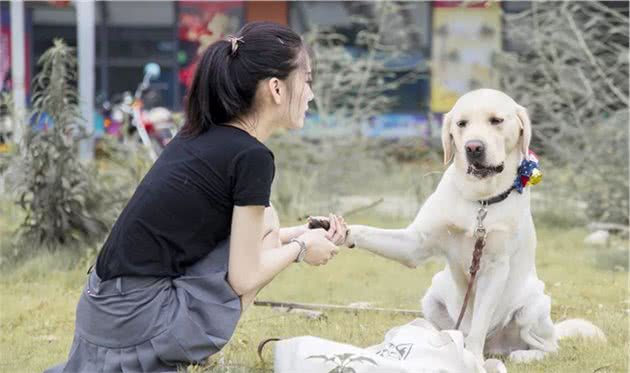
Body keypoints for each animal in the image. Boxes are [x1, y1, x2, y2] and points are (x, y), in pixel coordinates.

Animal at [346, 88, 608, 370]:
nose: (473, 147)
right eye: (462, 124)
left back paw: (523, 354)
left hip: (532, 305)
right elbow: (365, 232)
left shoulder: (494, 267)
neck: (480, 200)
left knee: (548, 346)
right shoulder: (415, 244)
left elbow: (479, 323)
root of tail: (497, 346)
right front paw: (336, 229)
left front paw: (471, 358)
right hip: (432, 296)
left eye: (496, 120)